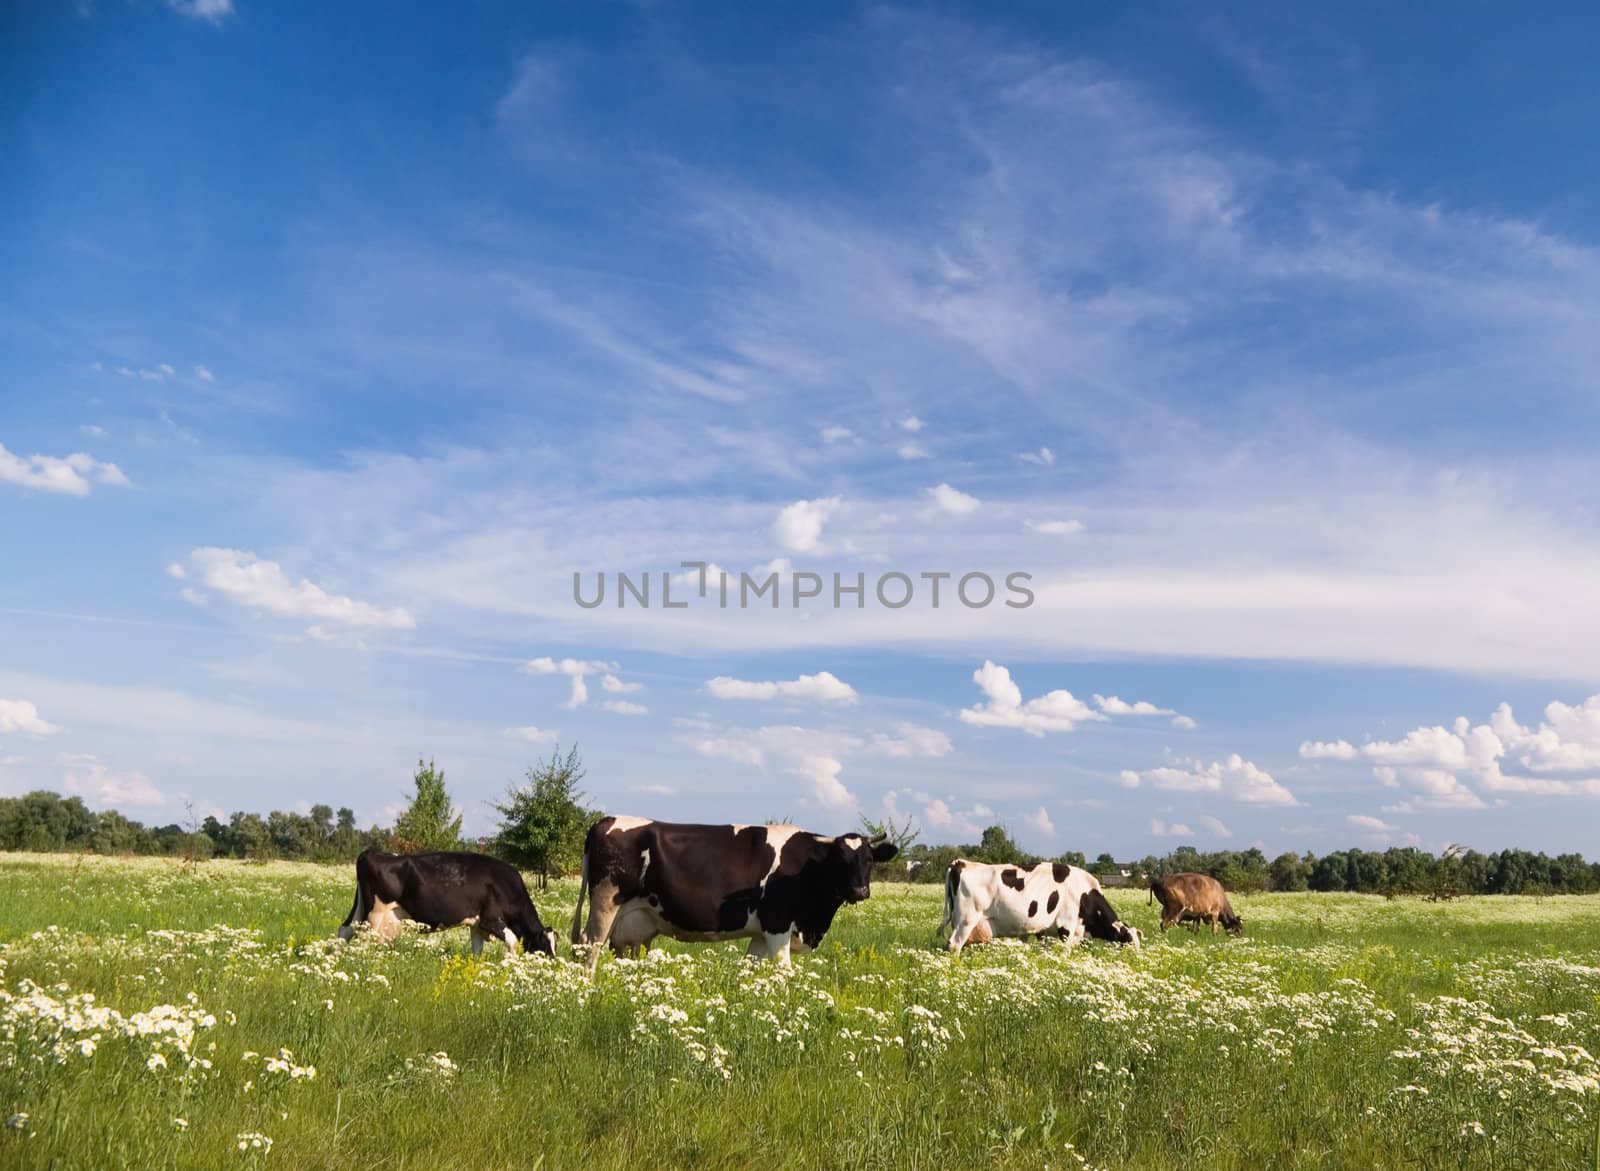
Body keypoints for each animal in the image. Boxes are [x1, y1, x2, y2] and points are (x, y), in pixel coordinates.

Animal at [339, 851, 563, 959]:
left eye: (556, 944)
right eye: (545, 945)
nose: (553, 962)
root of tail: (372, 853)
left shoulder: (477, 925)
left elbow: (477, 952)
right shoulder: (490, 920)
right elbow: (513, 941)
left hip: (362, 910)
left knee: (344, 929)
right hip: (375, 915)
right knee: (363, 941)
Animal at [572, 812, 902, 972]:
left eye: (869, 860)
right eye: (839, 860)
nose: (860, 890)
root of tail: (605, 819)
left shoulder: (760, 934)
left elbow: (750, 971)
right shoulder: (778, 925)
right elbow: (784, 973)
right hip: (605, 902)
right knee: (589, 947)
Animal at [940, 857, 1145, 953]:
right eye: (1128, 942)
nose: (1135, 958)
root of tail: (961, 863)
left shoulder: (1047, 933)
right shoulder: (1065, 928)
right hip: (966, 921)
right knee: (954, 945)